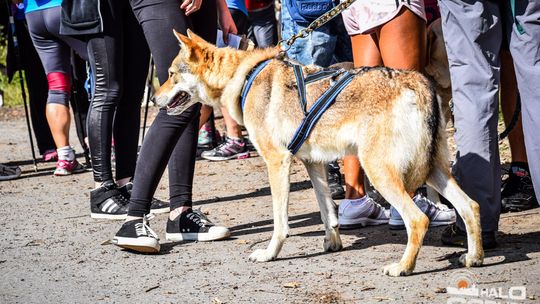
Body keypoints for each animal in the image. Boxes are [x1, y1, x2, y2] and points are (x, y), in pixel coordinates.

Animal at [153, 29, 486, 276]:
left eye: (170, 74)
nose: (154, 99)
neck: (243, 77)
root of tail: (420, 82)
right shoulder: (314, 163)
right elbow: (329, 212)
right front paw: (333, 244)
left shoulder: (277, 162)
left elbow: (280, 223)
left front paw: (269, 254)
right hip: (433, 171)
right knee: (471, 206)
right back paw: (474, 258)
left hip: (381, 172)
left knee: (418, 220)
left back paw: (403, 267)